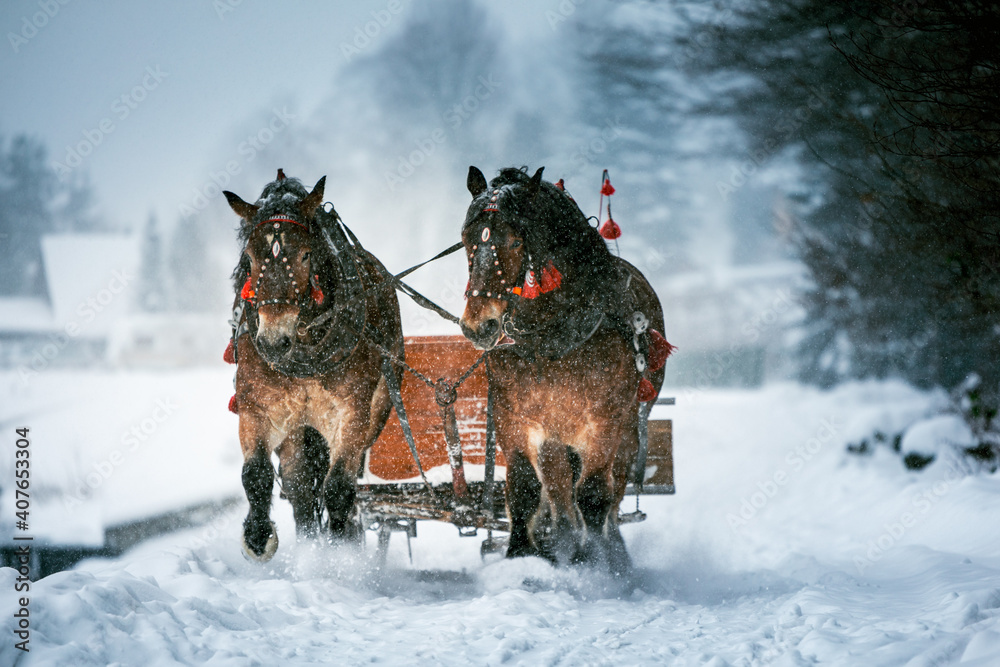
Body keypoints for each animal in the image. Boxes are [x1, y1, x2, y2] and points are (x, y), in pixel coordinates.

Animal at [224, 170, 402, 560]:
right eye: (250, 257)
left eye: (305, 255)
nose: (273, 342)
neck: (304, 344)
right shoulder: (257, 407)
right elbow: (256, 474)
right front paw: (257, 536)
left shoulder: (351, 411)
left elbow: (338, 487)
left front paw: (340, 551)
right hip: (297, 429)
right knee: (300, 485)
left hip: (373, 412)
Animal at [462, 166, 668, 576]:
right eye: (465, 240)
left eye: (515, 240)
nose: (479, 325)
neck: (551, 340)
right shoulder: (513, 417)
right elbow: (525, 487)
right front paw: (522, 554)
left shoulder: (602, 420)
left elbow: (593, 493)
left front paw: (596, 562)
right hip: (554, 433)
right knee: (557, 489)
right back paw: (560, 538)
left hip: (629, 423)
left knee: (613, 488)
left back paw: (607, 548)